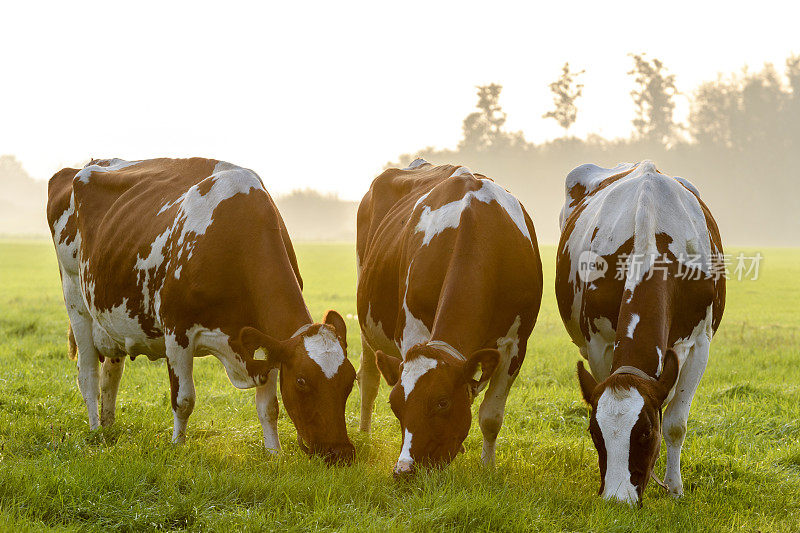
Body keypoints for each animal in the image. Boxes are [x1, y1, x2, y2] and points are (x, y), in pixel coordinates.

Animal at [45, 157, 354, 462]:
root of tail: (87, 165)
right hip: (75, 299)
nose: (340, 452)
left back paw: (109, 427)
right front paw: (177, 446)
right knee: (88, 375)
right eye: (302, 381)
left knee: (112, 374)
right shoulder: (177, 331)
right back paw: (96, 431)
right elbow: (184, 400)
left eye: (351, 380)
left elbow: (269, 407)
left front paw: (273, 453)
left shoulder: (266, 341)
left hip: (110, 315)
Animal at [356, 157, 544, 474]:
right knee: (368, 379)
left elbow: (491, 416)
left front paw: (487, 468)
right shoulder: (412, 332)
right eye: (395, 405)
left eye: (442, 402)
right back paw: (365, 436)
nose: (404, 470)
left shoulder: (516, 344)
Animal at [556, 160, 724, 500]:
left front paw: (674, 488)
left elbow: (675, 423)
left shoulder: (700, 345)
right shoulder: (598, 343)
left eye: (646, 432)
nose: (618, 499)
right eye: (595, 432)